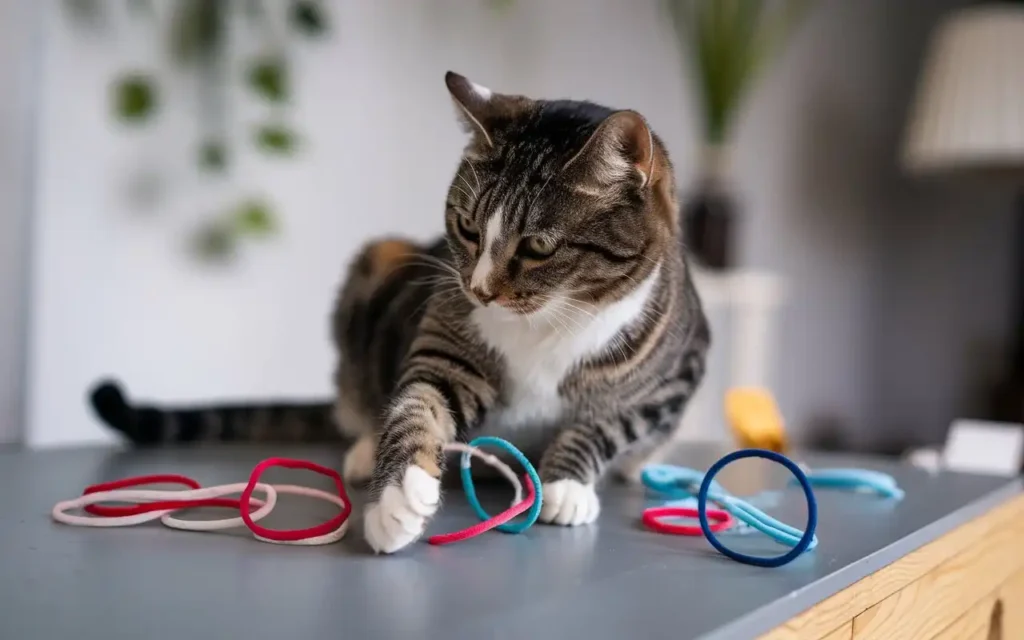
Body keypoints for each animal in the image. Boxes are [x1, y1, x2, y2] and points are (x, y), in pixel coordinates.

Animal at [90, 72, 712, 552]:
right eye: (467, 227)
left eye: (538, 247)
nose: (481, 291)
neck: (545, 325)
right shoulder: (446, 348)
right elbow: (418, 406)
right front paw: (397, 499)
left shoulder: (675, 376)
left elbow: (606, 425)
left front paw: (569, 484)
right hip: (378, 259)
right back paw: (365, 448)